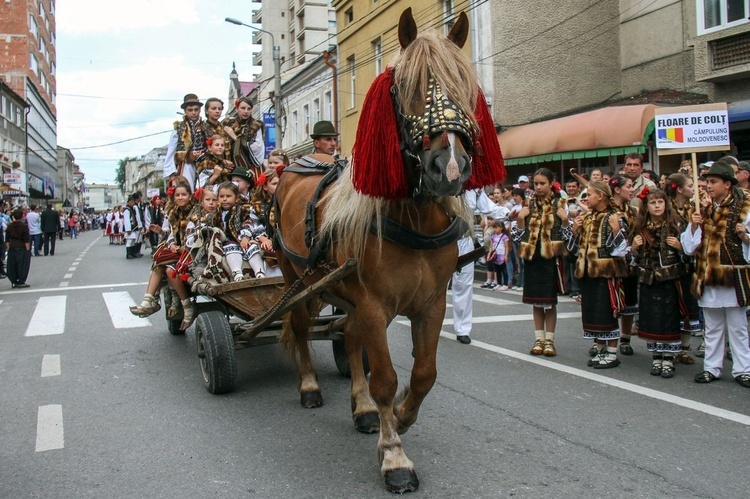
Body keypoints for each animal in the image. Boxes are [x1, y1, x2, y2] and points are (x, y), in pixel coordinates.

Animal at [272, 8, 506, 496]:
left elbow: (423, 374)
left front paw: (397, 416)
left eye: (464, 88)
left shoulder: (430, 304)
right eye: (407, 87)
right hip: (296, 279)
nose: (449, 169)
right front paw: (394, 454)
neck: (413, 221)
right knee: (300, 328)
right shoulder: (375, 305)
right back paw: (309, 387)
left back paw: (361, 410)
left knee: (348, 334)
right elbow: (385, 378)